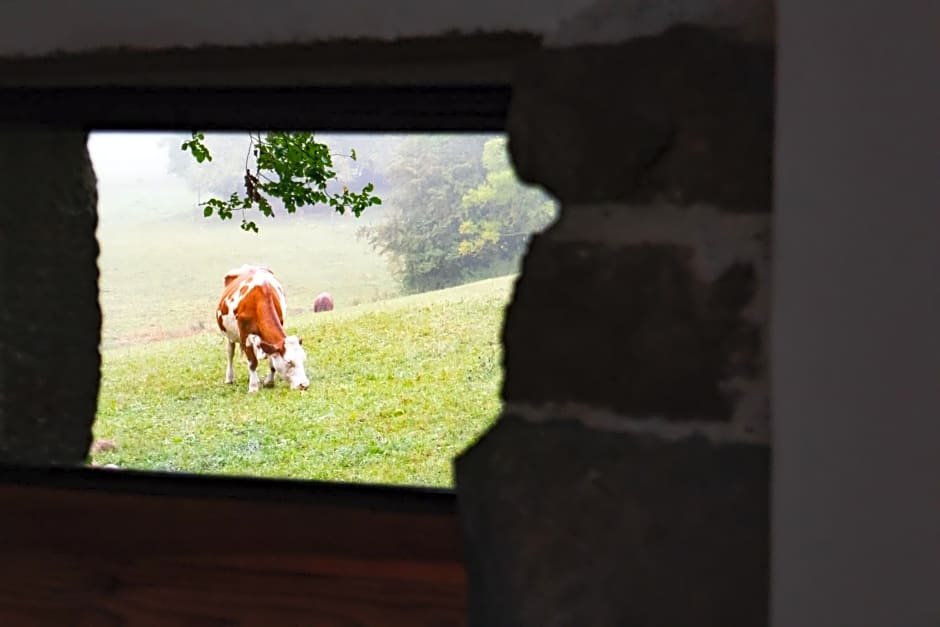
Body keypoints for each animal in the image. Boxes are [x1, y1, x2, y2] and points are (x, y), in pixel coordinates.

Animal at [215, 264, 310, 392]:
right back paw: (229, 378)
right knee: (230, 352)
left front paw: (269, 381)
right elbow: (252, 362)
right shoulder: (244, 335)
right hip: (229, 334)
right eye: (289, 362)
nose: (304, 385)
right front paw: (253, 387)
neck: (258, 299)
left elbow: (272, 358)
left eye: (303, 359)